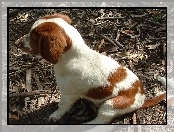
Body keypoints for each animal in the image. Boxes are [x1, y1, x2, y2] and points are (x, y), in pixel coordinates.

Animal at [15, 13, 166, 124]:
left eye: (33, 38)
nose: (16, 43)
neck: (73, 56)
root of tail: (142, 98)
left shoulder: (68, 94)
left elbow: (62, 106)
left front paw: (56, 115)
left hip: (111, 105)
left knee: (101, 122)